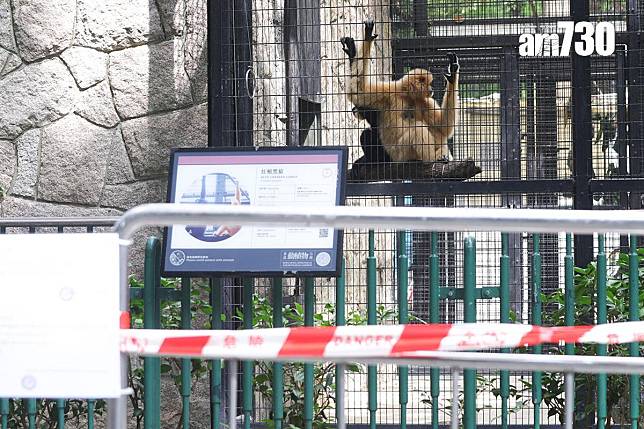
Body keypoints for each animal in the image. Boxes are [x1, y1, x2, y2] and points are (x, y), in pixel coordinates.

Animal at [340, 18, 460, 163]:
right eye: (429, 84)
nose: (431, 88)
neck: (407, 96)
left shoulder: (425, 101)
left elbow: (443, 127)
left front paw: (452, 75)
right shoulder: (388, 92)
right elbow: (358, 91)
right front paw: (367, 37)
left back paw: (441, 155)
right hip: (400, 153)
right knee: (418, 129)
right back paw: (432, 158)